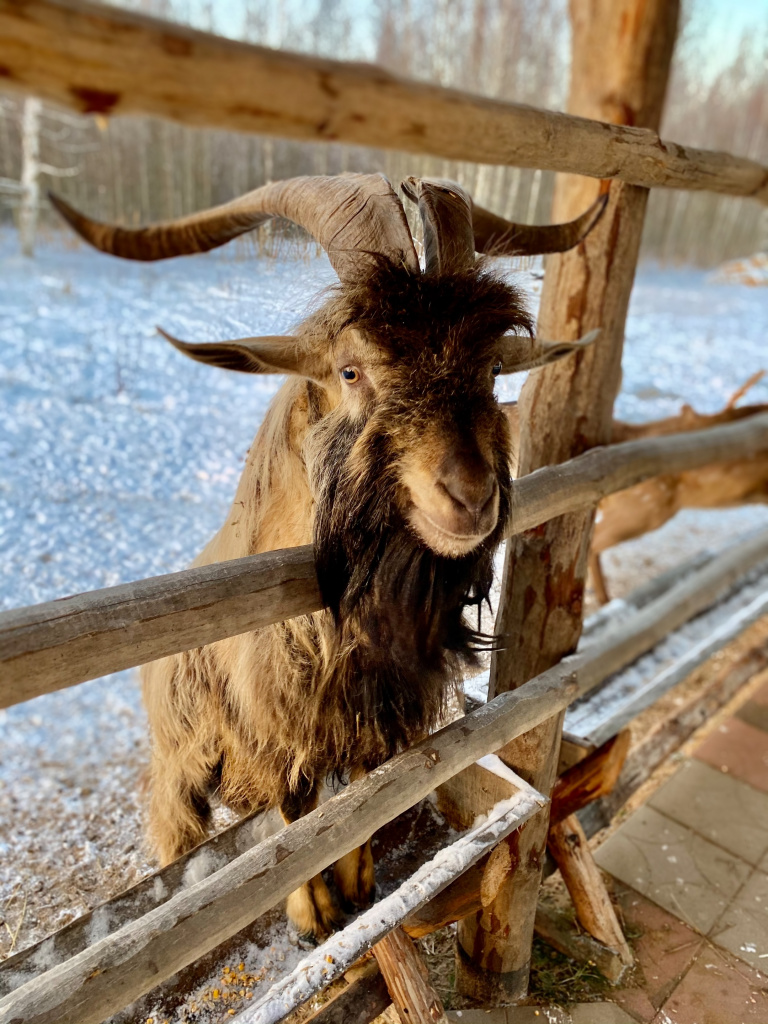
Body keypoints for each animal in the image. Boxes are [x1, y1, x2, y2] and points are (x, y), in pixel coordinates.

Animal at [52, 172, 606, 937]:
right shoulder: (274, 729)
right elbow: (294, 809)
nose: (469, 498)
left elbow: (362, 795)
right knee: (179, 825)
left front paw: (359, 879)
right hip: (181, 756)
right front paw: (312, 911)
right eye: (351, 370)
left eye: (494, 364)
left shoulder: (373, 720)